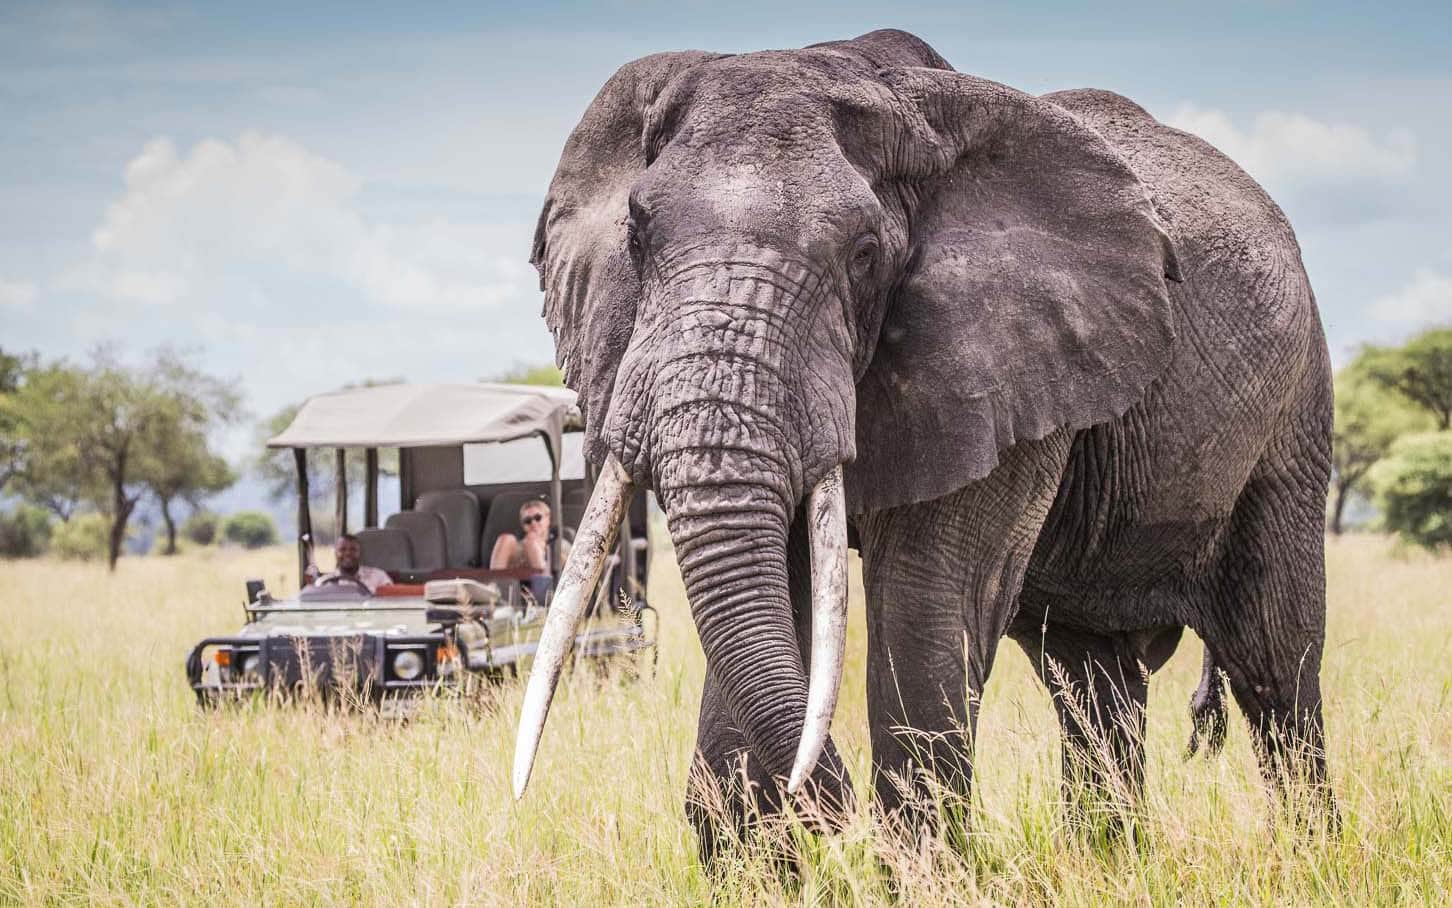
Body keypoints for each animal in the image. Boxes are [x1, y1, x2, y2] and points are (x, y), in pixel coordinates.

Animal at [511, 28, 1336, 854]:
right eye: (636, 234)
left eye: (863, 254)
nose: (832, 815)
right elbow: (778, 596)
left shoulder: (1003, 363)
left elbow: (925, 607)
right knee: (1089, 681)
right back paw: (1107, 858)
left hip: (1293, 411)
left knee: (1274, 665)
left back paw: (1306, 851)